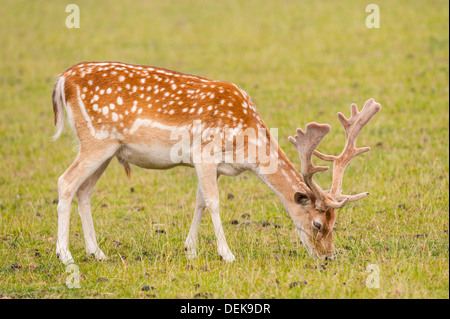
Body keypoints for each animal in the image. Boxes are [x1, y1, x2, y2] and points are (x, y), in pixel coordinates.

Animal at [51, 62, 382, 264]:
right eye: (317, 223)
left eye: (334, 223)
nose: (327, 257)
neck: (246, 148)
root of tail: (63, 80)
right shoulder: (204, 153)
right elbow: (213, 201)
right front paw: (227, 254)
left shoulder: (216, 166)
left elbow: (199, 200)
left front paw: (190, 249)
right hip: (96, 141)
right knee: (66, 182)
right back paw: (65, 255)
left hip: (107, 150)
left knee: (85, 190)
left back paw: (97, 253)